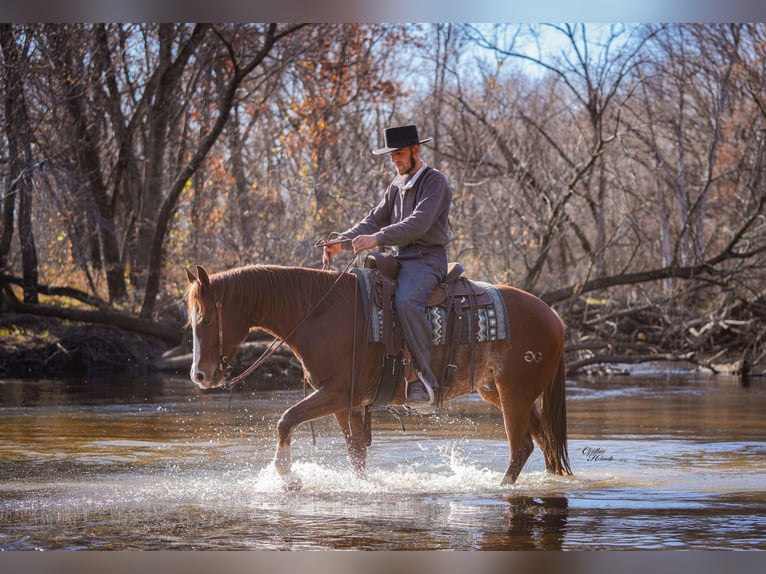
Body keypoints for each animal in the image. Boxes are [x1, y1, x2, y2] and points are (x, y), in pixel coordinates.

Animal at [184, 263, 572, 486]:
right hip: (501, 392)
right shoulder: (346, 403)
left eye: (206, 319)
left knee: (520, 447)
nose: (200, 376)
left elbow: (286, 419)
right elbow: (356, 452)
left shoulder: (338, 393)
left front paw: (286, 476)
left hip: (516, 393)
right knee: (544, 442)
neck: (320, 314)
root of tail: (554, 316)